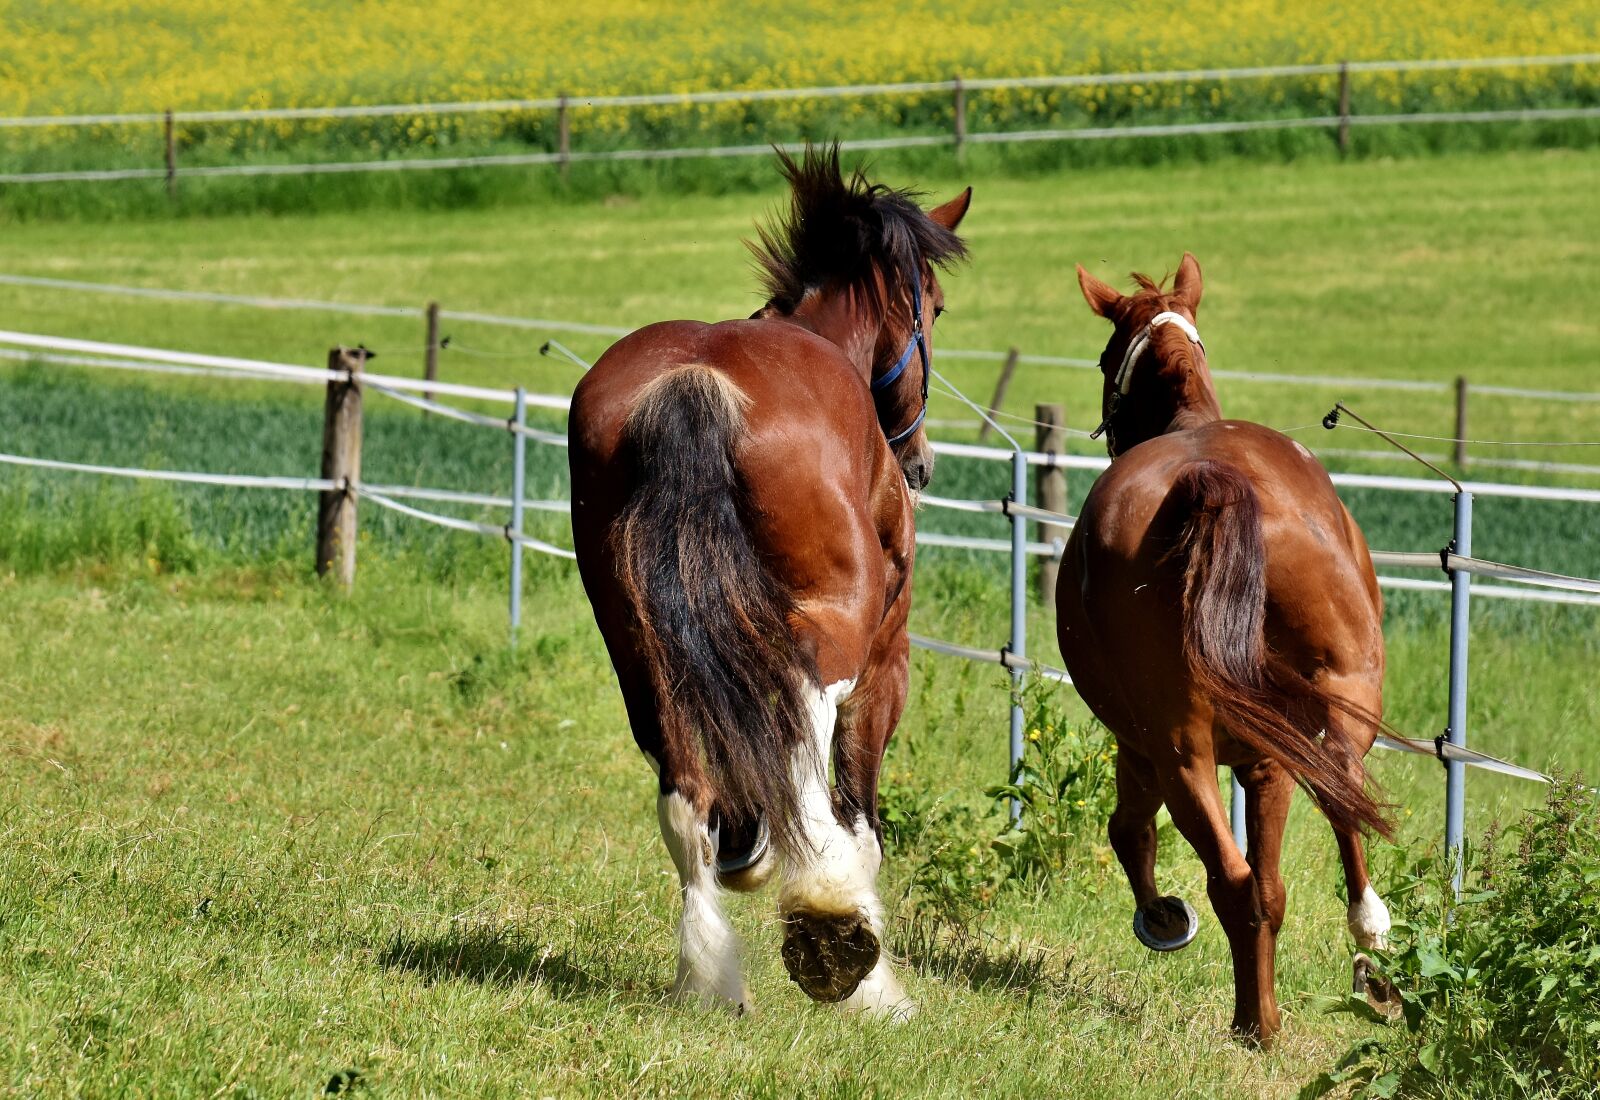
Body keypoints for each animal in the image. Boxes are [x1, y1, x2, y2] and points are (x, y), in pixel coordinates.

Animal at [568, 147, 969, 1018]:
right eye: (936, 306)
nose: (919, 462)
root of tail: (693, 382)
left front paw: (745, 844)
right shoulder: (887, 660)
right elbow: (860, 813)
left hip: (639, 642)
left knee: (685, 795)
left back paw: (707, 974)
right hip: (833, 627)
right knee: (803, 725)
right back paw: (833, 932)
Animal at [1055, 253, 1394, 1047]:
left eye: (1104, 358)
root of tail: (1212, 479)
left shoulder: (1140, 745)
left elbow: (1128, 830)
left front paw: (1160, 919)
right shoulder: (1266, 757)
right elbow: (1271, 880)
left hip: (1180, 750)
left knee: (1233, 878)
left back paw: (1257, 1020)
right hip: (1338, 699)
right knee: (1334, 802)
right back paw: (1361, 951)